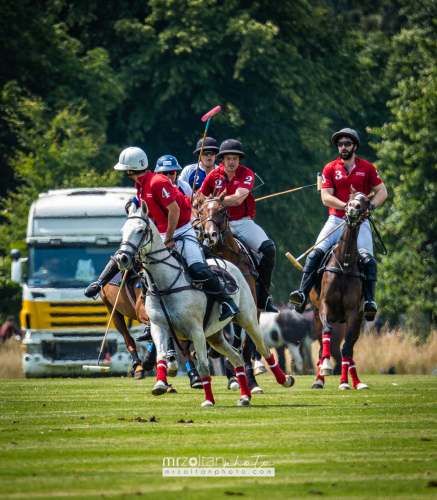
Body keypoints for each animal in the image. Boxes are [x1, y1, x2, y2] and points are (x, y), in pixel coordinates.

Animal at [115, 201, 292, 408]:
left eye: (140, 230)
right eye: (123, 230)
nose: (121, 258)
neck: (166, 284)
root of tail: (230, 264)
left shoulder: (196, 330)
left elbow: (203, 366)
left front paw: (208, 400)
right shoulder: (159, 326)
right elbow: (161, 355)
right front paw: (159, 385)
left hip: (248, 319)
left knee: (262, 348)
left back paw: (284, 380)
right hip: (214, 335)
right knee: (235, 356)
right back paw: (244, 396)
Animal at [308, 188, 370, 390]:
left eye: (366, 201)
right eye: (350, 198)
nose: (352, 208)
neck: (344, 264)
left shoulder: (352, 313)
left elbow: (346, 348)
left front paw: (345, 382)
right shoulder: (324, 306)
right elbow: (327, 335)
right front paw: (325, 369)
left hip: (359, 320)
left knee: (350, 350)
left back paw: (355, 382)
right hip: (317, 315)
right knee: (322, 345)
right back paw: (319, 379)